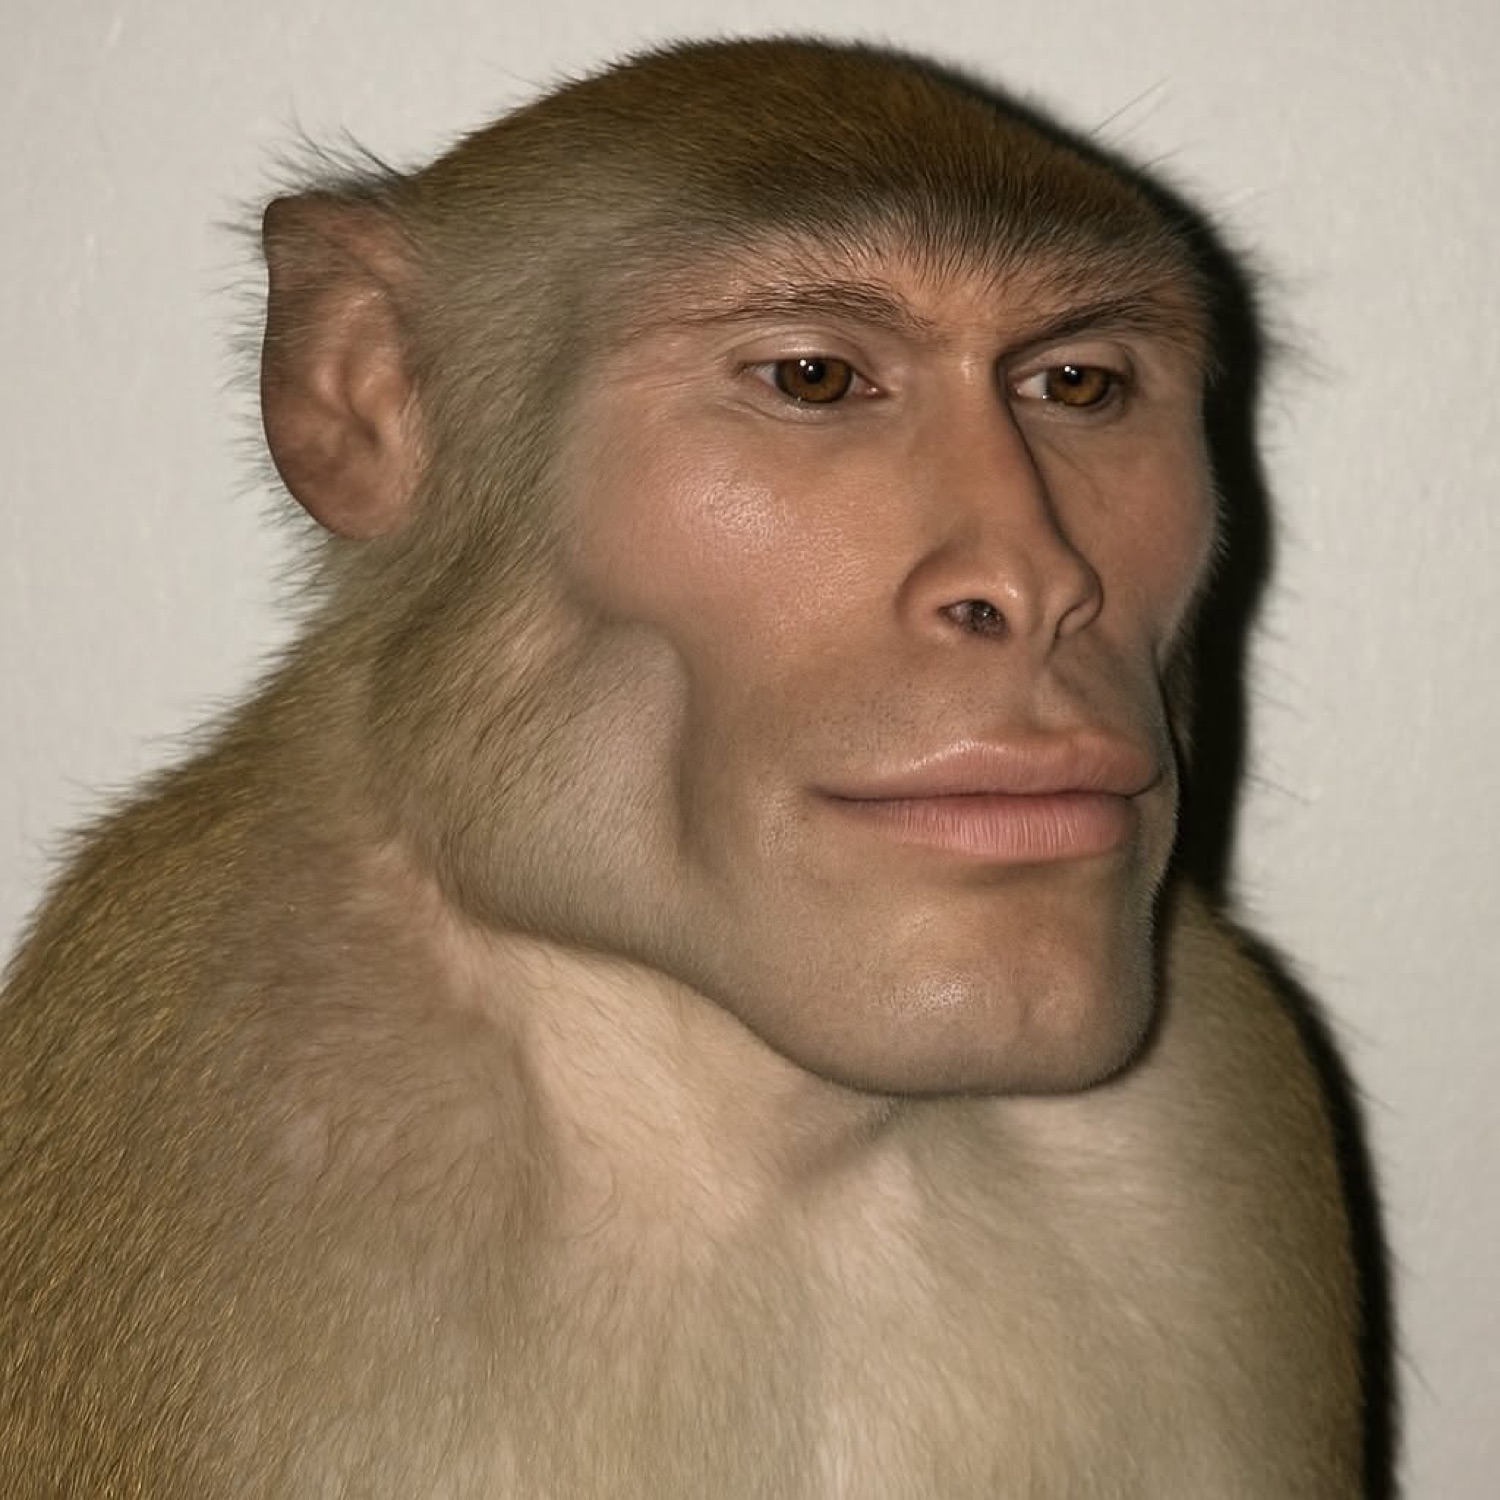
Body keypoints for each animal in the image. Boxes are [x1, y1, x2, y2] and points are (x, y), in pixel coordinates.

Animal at [0, 36, 1363, 1498]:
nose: (1039, 597)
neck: (768, 1125)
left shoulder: (1213, 1106)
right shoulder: (250, 1103)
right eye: (814, 379)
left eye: (1078, 386)